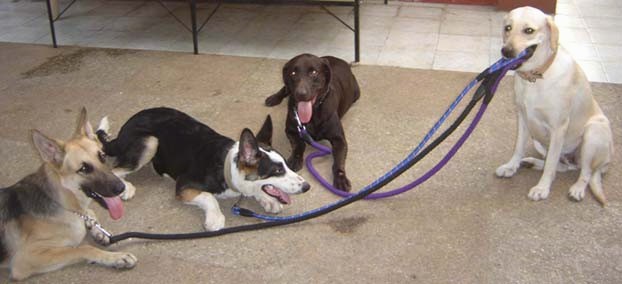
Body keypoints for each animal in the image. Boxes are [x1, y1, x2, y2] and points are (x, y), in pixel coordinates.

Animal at [0, 108, 136, 280]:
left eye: (102, 156)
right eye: (83, 169)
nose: (121, 187)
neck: (61, 202)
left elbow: (90, 212)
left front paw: (98, 230)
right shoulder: (25, 259)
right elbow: (83, 248)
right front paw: (116, 257)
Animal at [96, 107, 310, 232]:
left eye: (286, 165)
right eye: (277, 171)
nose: (307, 186)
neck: (226, 169)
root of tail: (121, 133)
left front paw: (267, 199)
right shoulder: (183, 185)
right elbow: (209, 197)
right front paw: (215, 219)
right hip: (150, 141)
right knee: (115, 169)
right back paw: (126, 188)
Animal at [266, 53, 364, 191]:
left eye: (313, 72)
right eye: (293, 73)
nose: (301, 94)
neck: (313, 114)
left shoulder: (339, 139)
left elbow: (338, 162)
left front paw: (340, 178)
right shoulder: (291, 131)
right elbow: (299, 144)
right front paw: (295, 159)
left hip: (357, 93)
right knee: (285, 88)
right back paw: (274, 98)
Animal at [498, 6, 616, 205]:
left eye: (528, 30)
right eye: (508, 28)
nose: (506, 52)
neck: (535, 78)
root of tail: (606, 161)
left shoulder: (558, 127)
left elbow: (551, 165)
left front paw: (542, 188)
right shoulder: (523, 118)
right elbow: (519, 148)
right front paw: (511, 166)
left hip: (592, 133)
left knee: (585, 172)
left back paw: (577, 189)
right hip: (538, 139)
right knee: (563, 167)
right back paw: (531, 162)